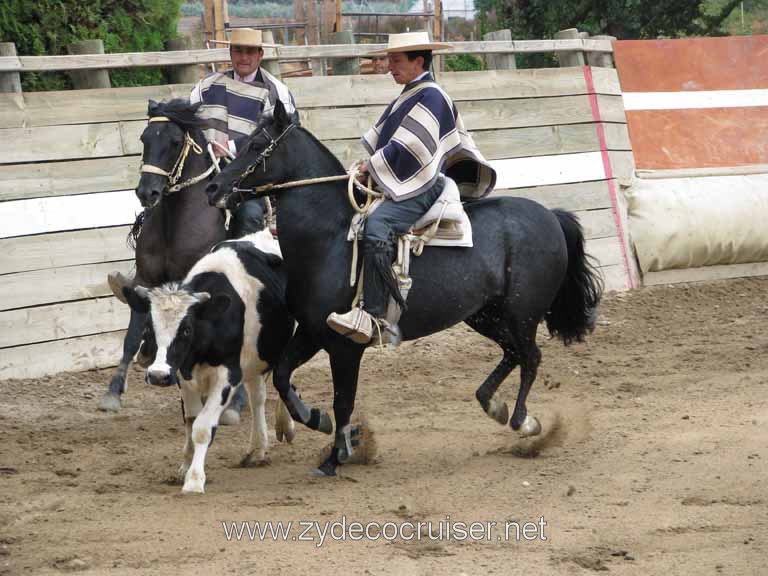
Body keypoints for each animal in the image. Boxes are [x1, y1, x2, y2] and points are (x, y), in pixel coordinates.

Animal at [97, 100, 268, 414]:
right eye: (144, 138)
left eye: (175, 142)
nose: (147, 191)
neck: (175, 223)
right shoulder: (147, 279)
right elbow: (133, 333)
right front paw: (114, 392)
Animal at [124, 231, 296, 496]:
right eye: (147, 328)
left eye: (186, 329)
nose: (158, 375)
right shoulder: (182, 374)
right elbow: (190, 422)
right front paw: (185, 467)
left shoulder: (228, 375)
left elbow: (203, 427)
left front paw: (194, 480)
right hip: (254, 360)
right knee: (257, 398)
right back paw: (257, 450)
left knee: (285, 379)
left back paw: (285, 425)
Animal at [207, 100, 604, 476]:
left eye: (256, 144)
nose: (214, 188)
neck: (329, 238)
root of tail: (550, 215)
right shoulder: (312, 332)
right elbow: (283, 377)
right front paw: (320, 422)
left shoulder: (345, 346)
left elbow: (343, 400)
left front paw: (335, 457)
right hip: (484, 315)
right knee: (513, 353)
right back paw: (493, 403)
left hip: (523, 313)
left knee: (530, 357)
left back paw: (524, 423)